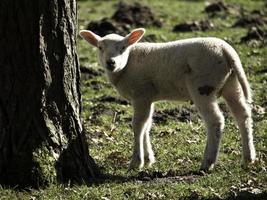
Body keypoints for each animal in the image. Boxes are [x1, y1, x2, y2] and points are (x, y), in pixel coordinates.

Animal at [80, 28, 258, 171]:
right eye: (100, 47)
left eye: (123, 47)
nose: (111, 62)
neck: (127, 65)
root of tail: (226, 51)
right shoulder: (148, 96)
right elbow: (147, 125)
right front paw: (149, 159)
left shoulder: (141, 94)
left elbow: (138, 126)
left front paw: (137, 162)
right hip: (231, 83)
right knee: (242, 115)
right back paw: (248, 158)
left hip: (203, 85)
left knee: (215, 120)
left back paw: (208, 163)